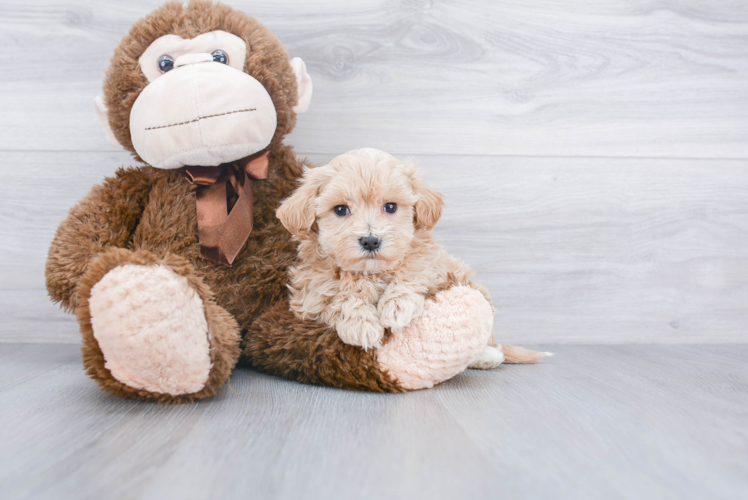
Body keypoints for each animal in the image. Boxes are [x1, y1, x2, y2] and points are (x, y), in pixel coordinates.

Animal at [278, 146, 548, 366]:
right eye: (341, 209)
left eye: (390, 207)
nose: (370, 240)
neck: (370, 272)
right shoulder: (309, 297)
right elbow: (336, 297)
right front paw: (361, 325)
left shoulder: (435, 265)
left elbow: (414, 271)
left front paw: (396, 307)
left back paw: (487, 356)